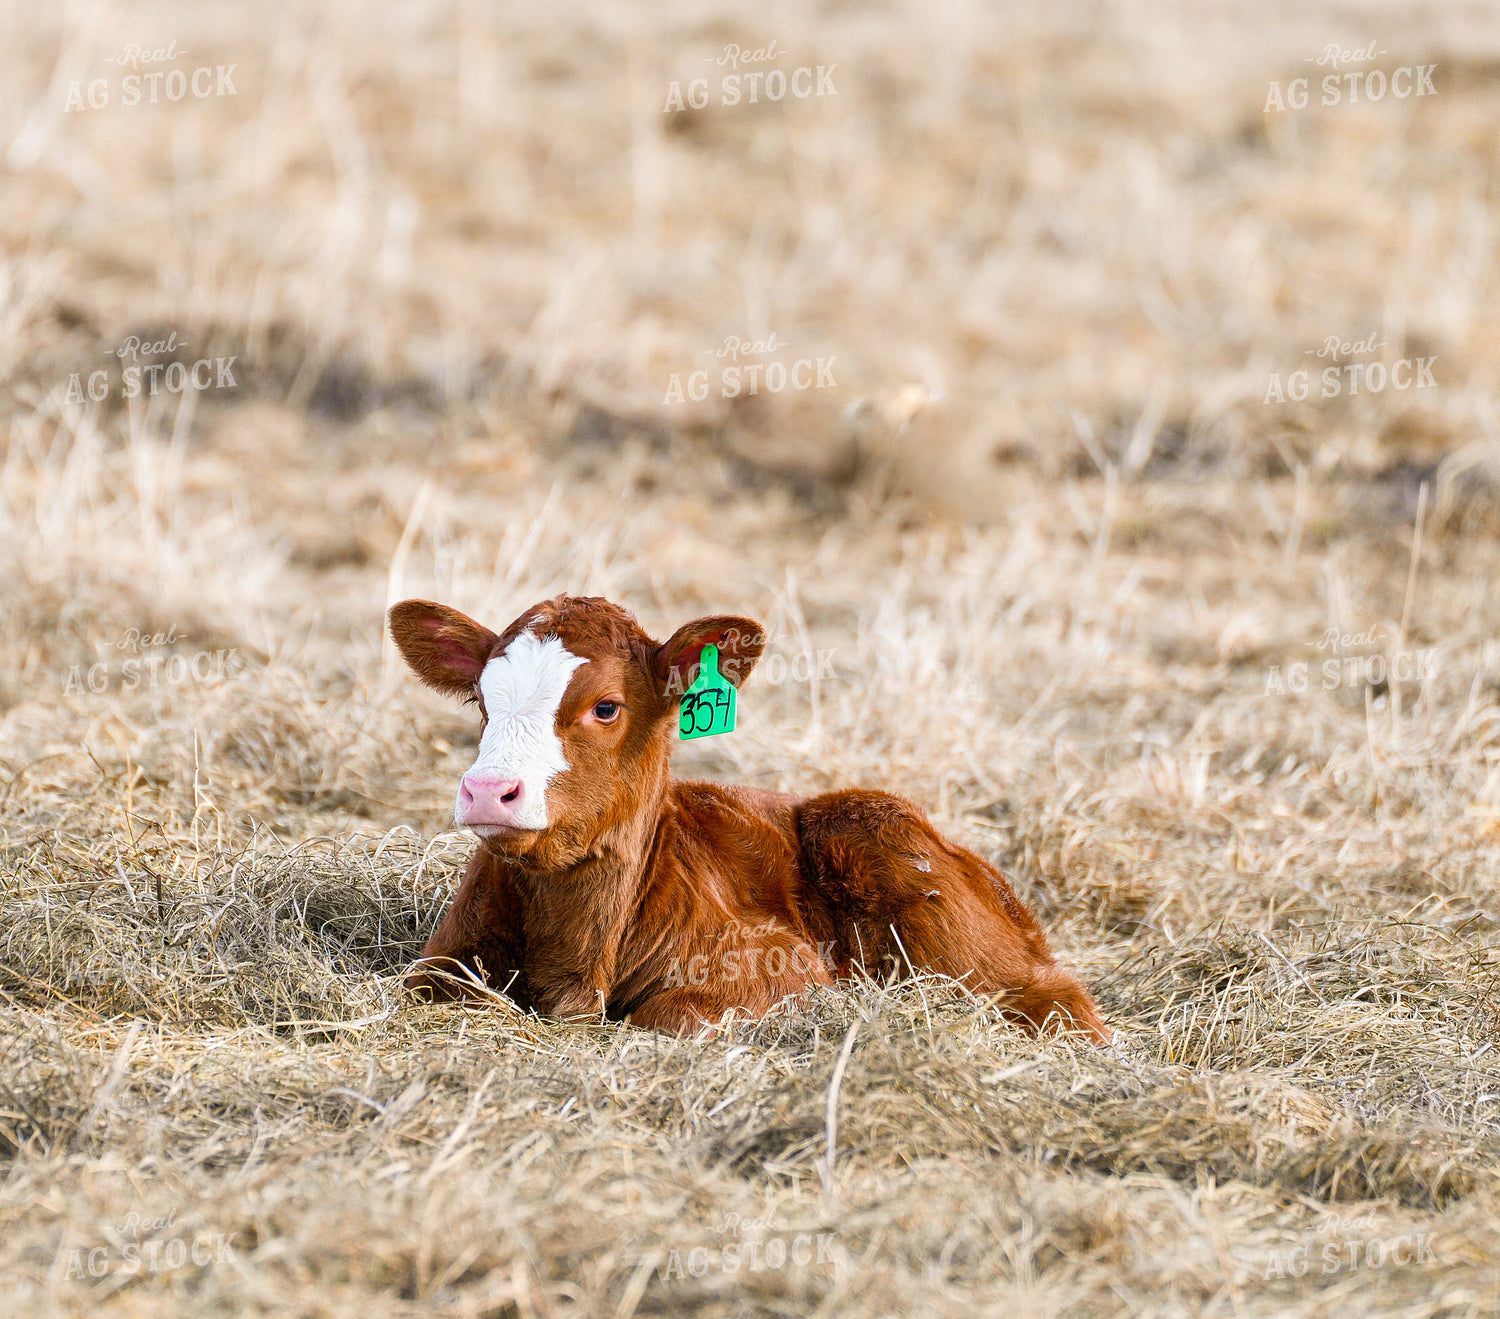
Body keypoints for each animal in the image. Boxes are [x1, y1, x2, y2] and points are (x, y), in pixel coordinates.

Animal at [388, 595, 1109, 1042]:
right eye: (482, 700)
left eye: (606, 706)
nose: (488, 790)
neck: (577, 954)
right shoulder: (438, 963)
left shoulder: (779, 962)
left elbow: (667, 1017)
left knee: (1056, 998)